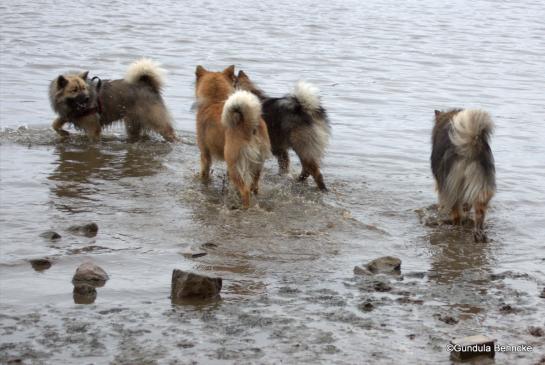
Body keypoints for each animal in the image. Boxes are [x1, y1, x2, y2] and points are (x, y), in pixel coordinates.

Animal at [196, 64, 272, 208]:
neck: (215, 100)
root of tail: (249, 125)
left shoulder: (205, 153)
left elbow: (204, 173)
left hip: (234, 164)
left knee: (245, 191)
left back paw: (244, 207)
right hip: (256, 165)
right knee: (254, 187)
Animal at [432, 108, 496, 242]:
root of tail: (470, 148)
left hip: (453, 186)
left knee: (456, 214)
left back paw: (456, 226)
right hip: (482, 186)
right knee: (479, 213)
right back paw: (479, 235)